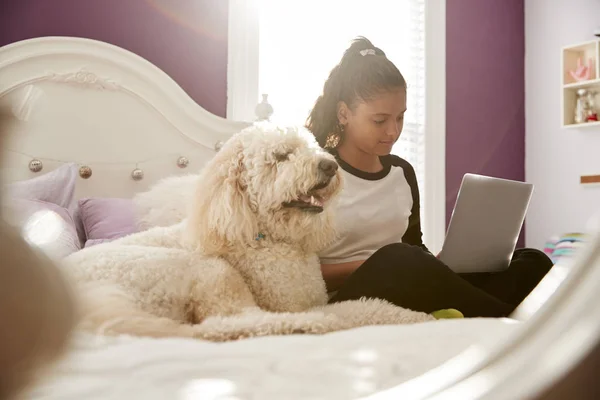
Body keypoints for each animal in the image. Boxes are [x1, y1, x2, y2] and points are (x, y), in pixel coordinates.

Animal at [63, 122, 434, 340]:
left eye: (310, 147)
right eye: (282, 156)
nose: (329, 165)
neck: (267, 235)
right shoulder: (294, 303)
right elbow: (364, 307)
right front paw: (414, 317)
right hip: (204, 271)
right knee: (222, 326)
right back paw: (313, 326)